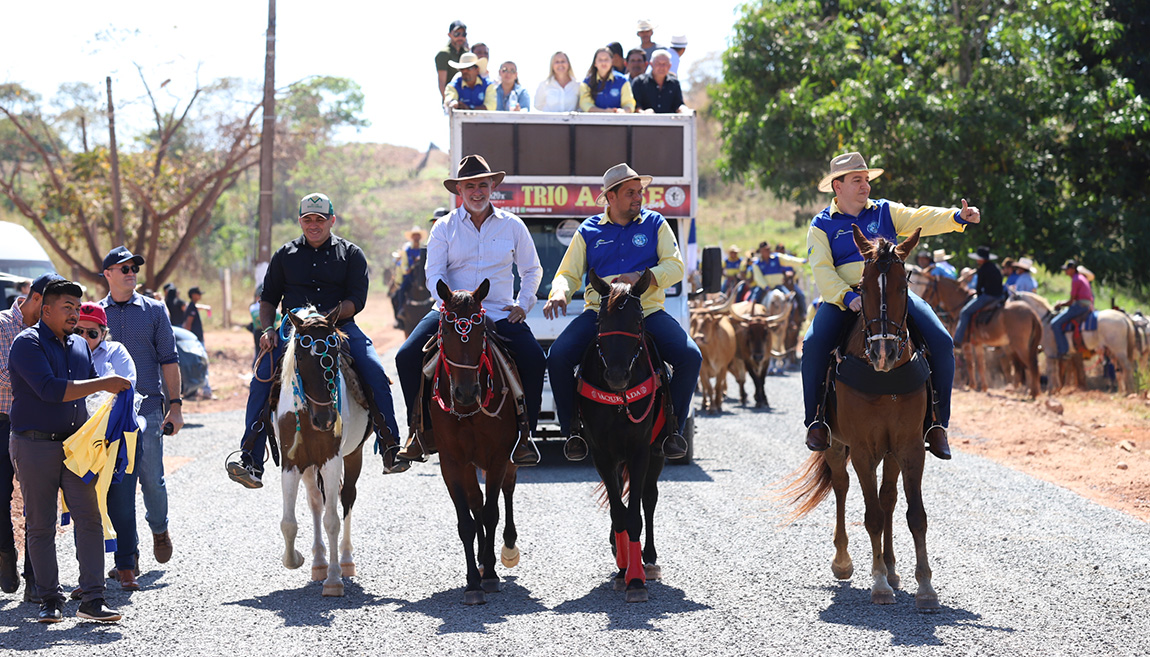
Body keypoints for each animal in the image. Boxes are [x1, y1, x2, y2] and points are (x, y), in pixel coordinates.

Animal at [274, 306, 372, 598]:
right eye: (300, 356)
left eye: (335, 354)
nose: (326, 420)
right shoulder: (291, 462)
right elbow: (289, 522)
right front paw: (296, 559)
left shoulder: (332, 460)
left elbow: (332, 520)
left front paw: (334, 579)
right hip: (309, 466)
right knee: (316, 502)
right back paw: (319, 562)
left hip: (353, 455)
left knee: (346, 497)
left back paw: (346, 560)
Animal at [432, 277, 522, 607]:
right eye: (446, 331)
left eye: (481, 331)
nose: (466, 393)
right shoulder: (452, 463)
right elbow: (467, 521)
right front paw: (473, 581)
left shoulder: (497, 456)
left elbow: (492, 513)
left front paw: (492, 576)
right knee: (476, 503)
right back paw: (483, 560)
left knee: (507, 489)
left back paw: (506, 549)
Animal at [579, 266, 671, 602]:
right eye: (600, 322)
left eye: (637, 322)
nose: (617, 375)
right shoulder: (602, 454)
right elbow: (618, 511)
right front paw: (622, 569)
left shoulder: (640, 450)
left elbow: (634, 514)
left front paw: (635, 579)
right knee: (618, 494)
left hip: (657, 454)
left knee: (648, 499)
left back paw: (650, 558)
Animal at [782, 228, 943, 616]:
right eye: (863, 289)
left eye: (903, 286)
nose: (883, 353)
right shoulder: (863, 449)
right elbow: (870, 516)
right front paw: (879, 583)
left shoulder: (910, 447)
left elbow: (915, 515)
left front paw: (924, 587)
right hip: (837, 446)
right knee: (842, 488)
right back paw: (845, 562)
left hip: (892, 452)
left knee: (888, 499)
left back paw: (893, 567)